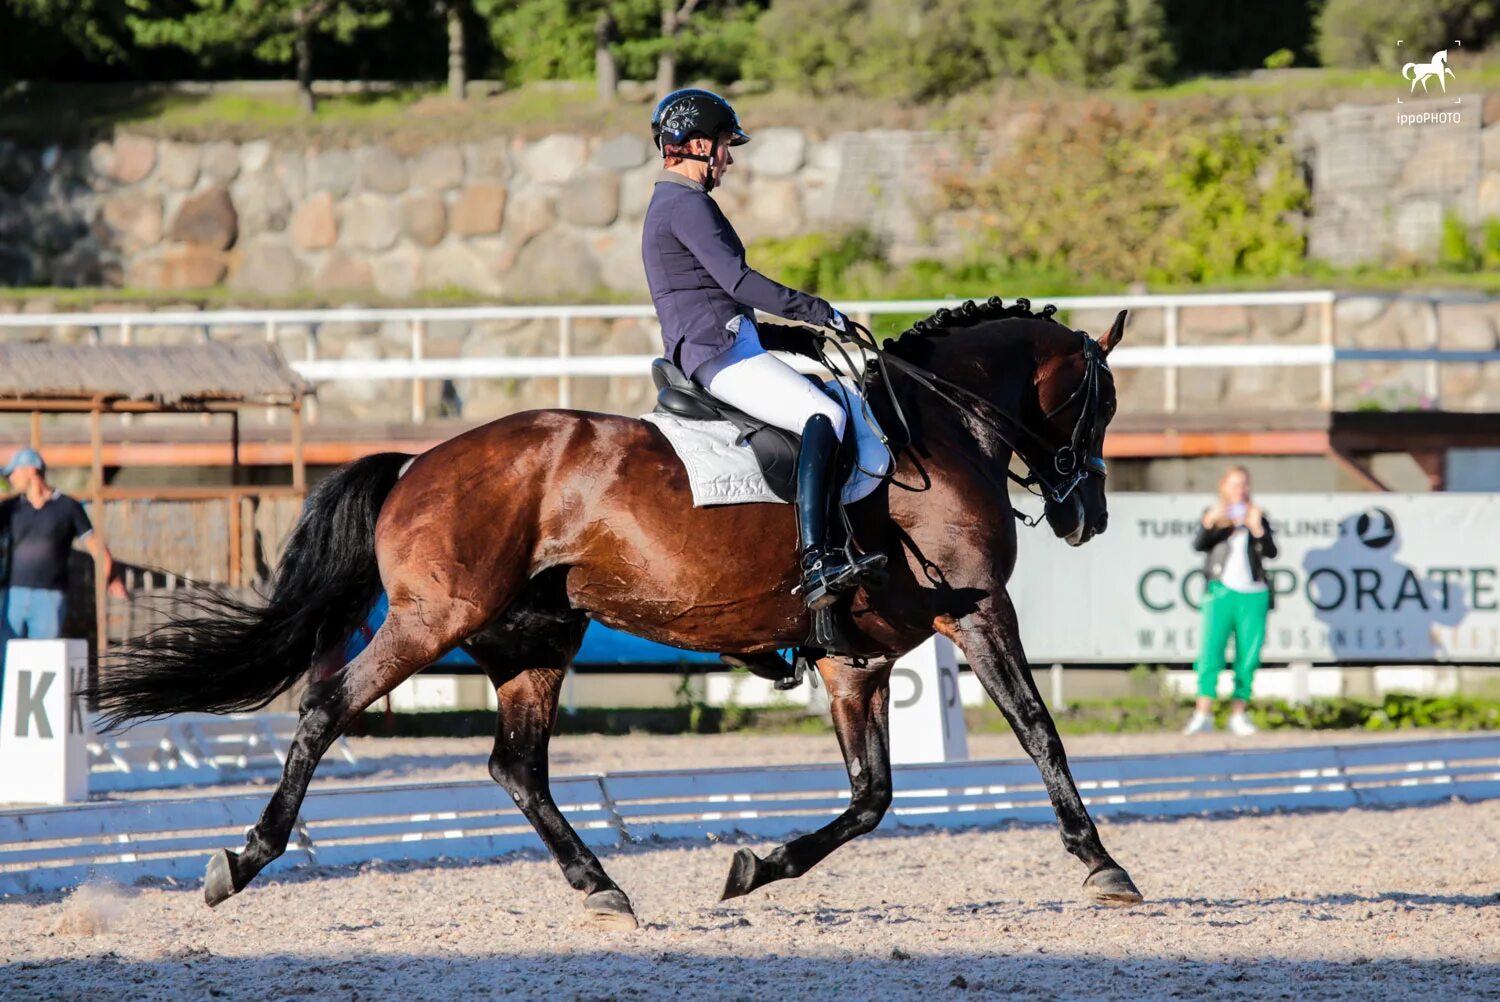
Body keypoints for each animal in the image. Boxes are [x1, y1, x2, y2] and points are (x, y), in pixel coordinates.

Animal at [90, 297, 1134, 930]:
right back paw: (244, 858)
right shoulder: (980, 610)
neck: (940, 429)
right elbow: (1037, 728)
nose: (1087, 516)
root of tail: (418, 460)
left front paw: (757, 867)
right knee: (326, 707)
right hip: (434, 621)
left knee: (516, 765)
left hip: (537, 637)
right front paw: (1103, 865)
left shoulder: (854, 659)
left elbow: (872, 794)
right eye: (1102, 402)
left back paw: (601, 888)